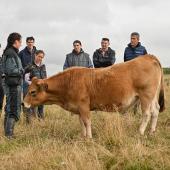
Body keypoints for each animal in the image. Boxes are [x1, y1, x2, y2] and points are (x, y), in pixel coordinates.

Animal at [23, 55, 165, 137]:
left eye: (33, 92)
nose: (22, 103)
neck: (68, 82)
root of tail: (148, 57)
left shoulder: (83, 106)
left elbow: (87, 122)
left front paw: (89, 138)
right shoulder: (78, 108)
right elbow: (81, 123)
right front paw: (84, 136)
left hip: (145, 96)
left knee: (146, 114)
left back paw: (140, 132)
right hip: (152, 98)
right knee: (155, 111)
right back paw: (151, 131)